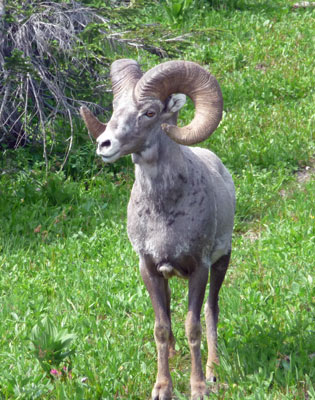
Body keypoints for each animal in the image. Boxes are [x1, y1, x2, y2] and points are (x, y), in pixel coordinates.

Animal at [80, 59, 236, 400]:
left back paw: (214, 371)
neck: (165, 214)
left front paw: (197, 388)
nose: (104, 145)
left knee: (212, 310)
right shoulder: (149, 268)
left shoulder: (200, 268)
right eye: (115, 109)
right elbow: (161, 328)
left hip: (222, 262)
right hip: (168, 278)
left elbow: (193, 326)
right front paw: (163, 388)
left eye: (149, 113)